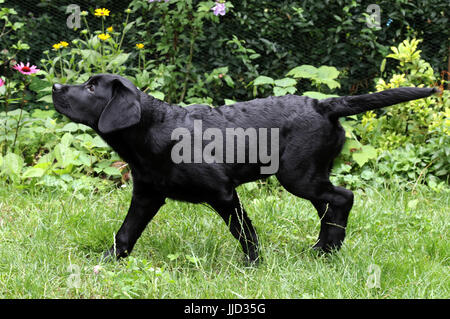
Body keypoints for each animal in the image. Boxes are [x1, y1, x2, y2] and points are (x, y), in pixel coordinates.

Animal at [51, 75, 436, 264]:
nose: (54, 86)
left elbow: (244, 231)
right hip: (310, 175)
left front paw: (253, 265)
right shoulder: (147, 194)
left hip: (298, 176)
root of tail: (324, 105)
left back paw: (328, 250)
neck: (153, 128)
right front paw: (108, 261)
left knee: (343, 197)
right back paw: (323, 249)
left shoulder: (223, 193)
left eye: (91, 87)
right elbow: (126, 232)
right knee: (331, 206)